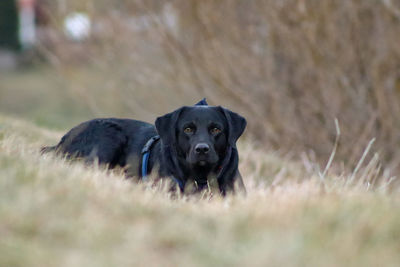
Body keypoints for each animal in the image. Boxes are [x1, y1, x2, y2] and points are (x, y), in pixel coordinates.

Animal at [42, 100, 245, 195]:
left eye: (216, 129)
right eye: (188, 129)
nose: (202, 149)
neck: (201, 176)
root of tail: (63, 139)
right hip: (108, 136)